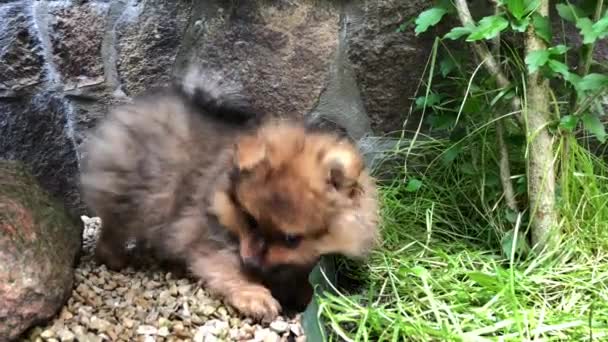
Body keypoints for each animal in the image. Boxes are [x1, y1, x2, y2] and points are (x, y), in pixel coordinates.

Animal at [78, 66, 378, 320]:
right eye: (250, 220)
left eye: (291, 239)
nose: (251, 262)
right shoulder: (207, 239)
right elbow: (227, 269)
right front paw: (254, 295)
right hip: (132, 195)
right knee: (114, 231)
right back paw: (117, 258)